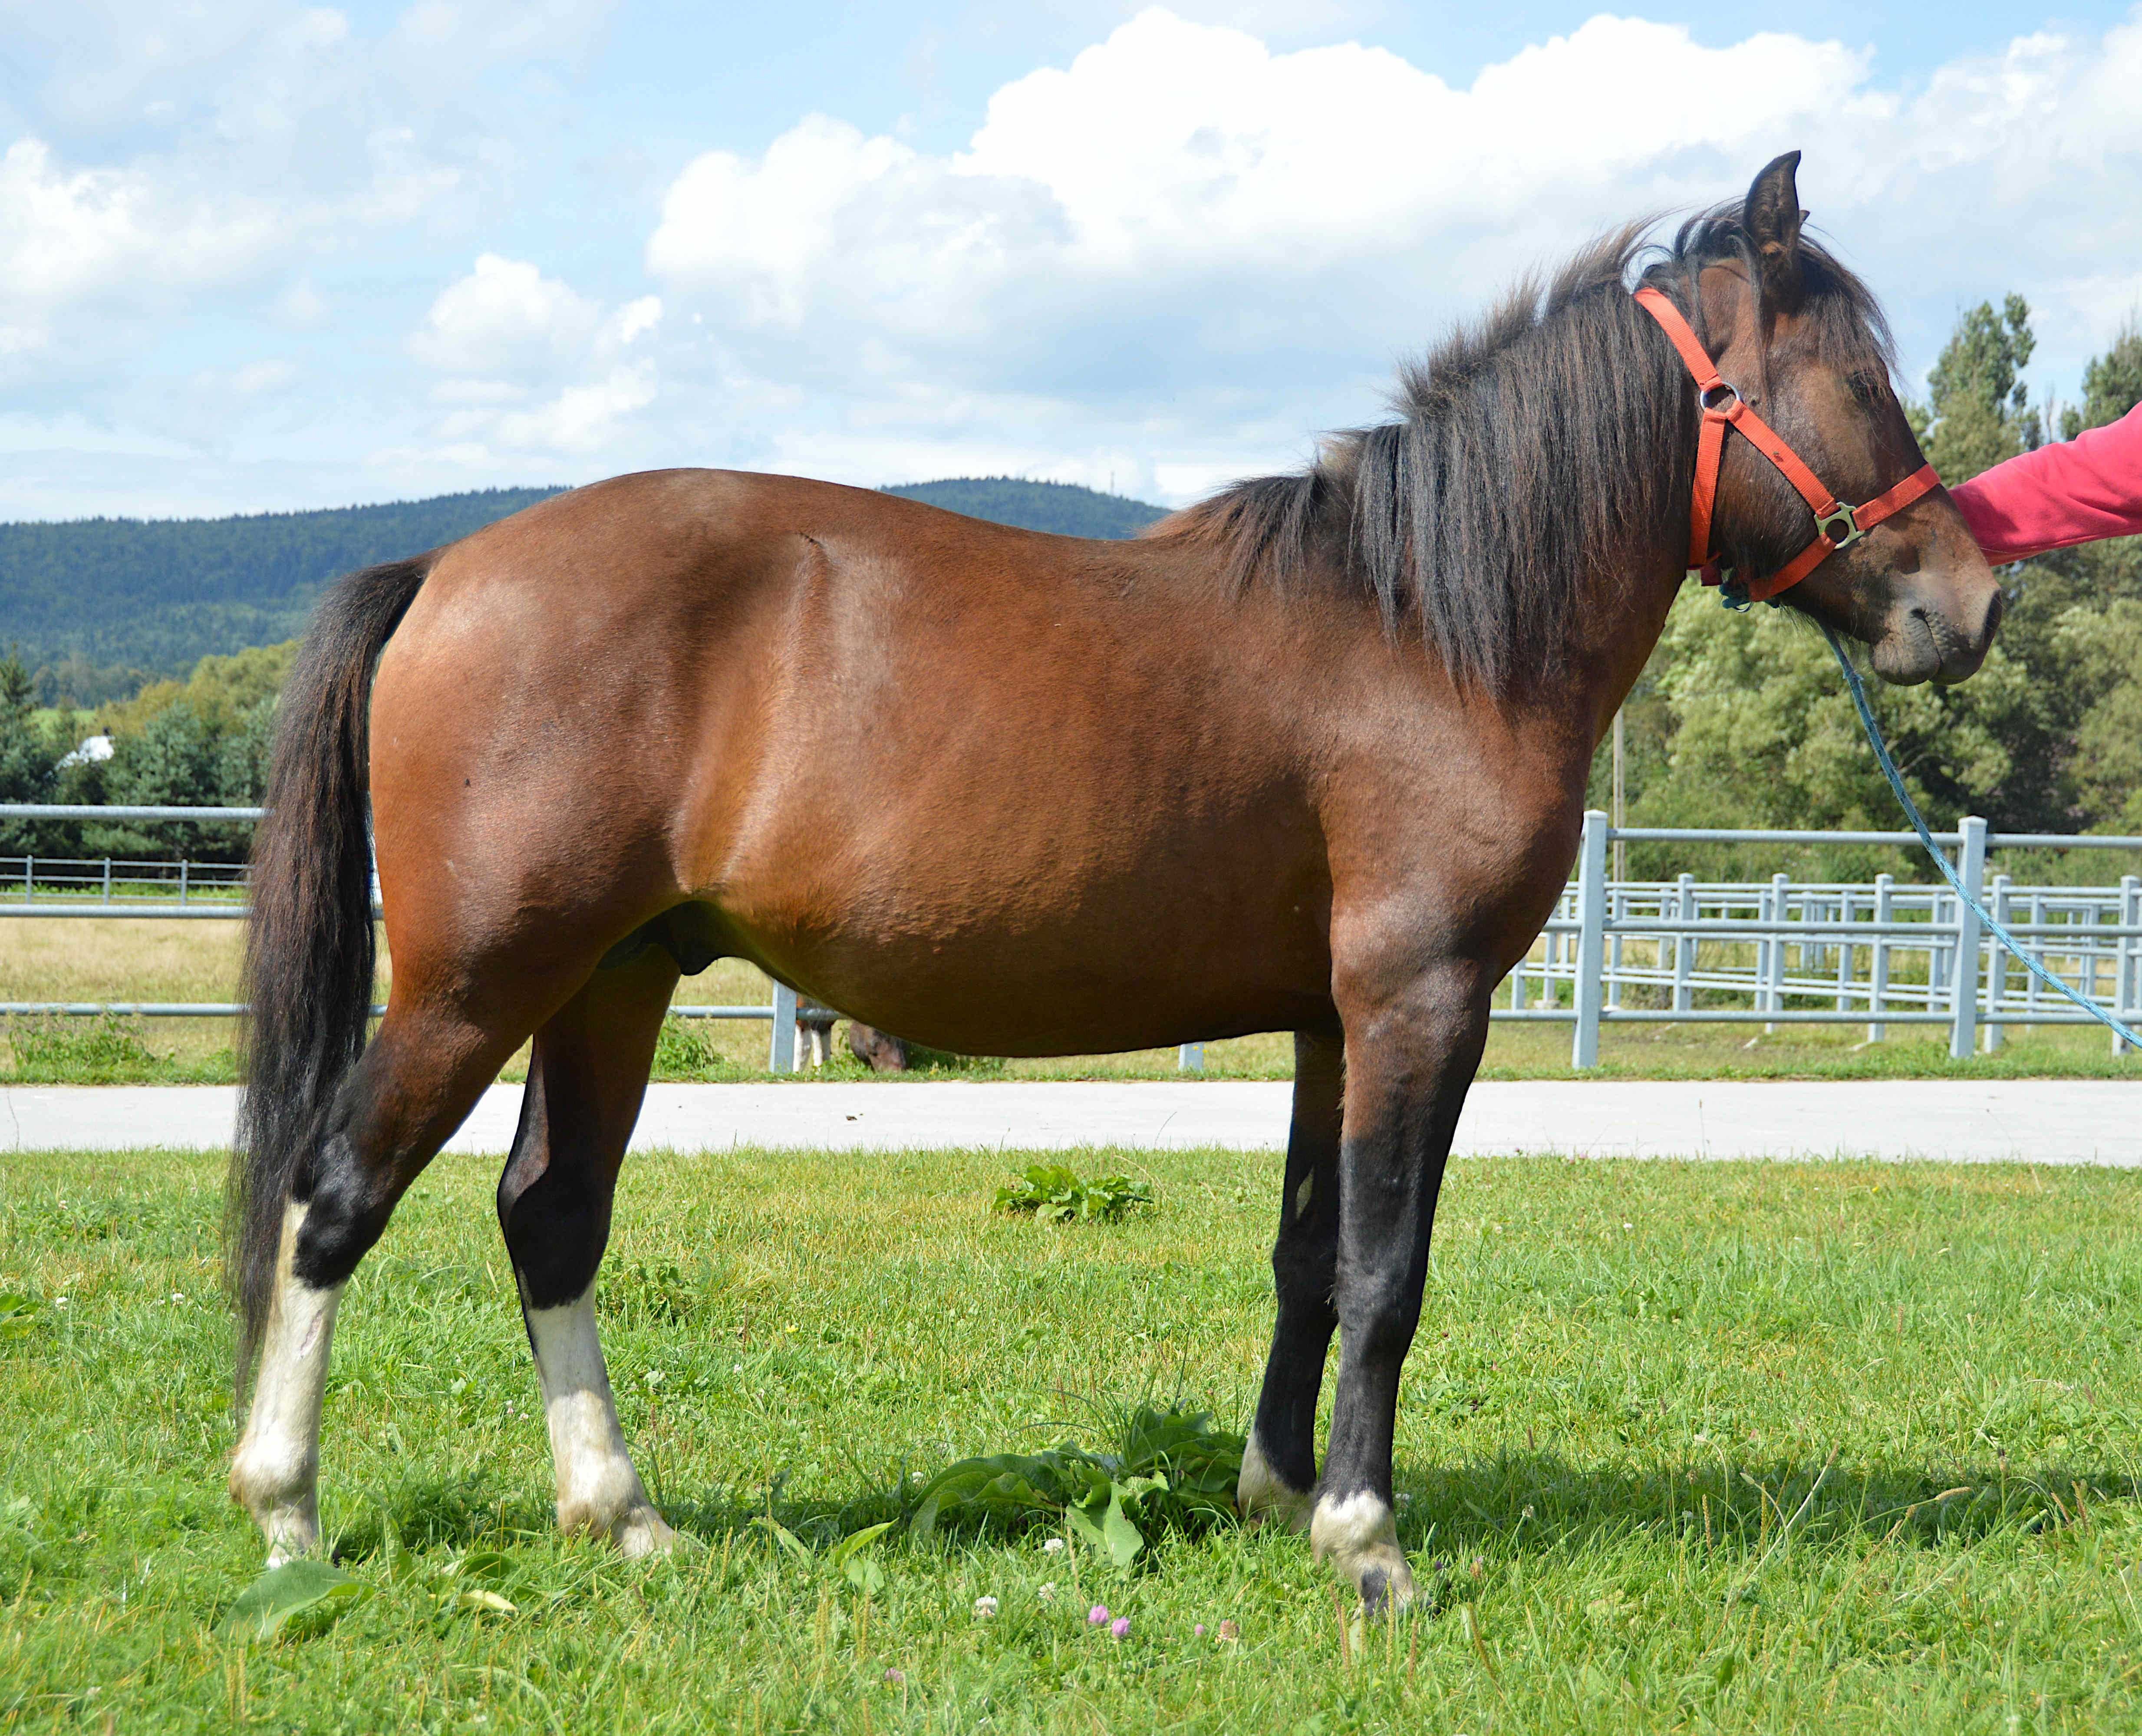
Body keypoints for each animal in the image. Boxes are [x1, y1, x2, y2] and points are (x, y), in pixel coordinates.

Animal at [226, 155, 1996, 1603]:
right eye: (1856, 379)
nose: (1965, 605)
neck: (1428, 630)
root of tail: (448, 566)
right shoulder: (1420, 1003)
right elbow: (1386, 1268)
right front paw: (1368, 1539)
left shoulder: (1330, 1019)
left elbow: (1307, 1255)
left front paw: (1278, 1492)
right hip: (482, 981)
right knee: (336, 1191)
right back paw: (288, 1510)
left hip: (614, 976)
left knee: (549, 1213)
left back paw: (621, 1511)